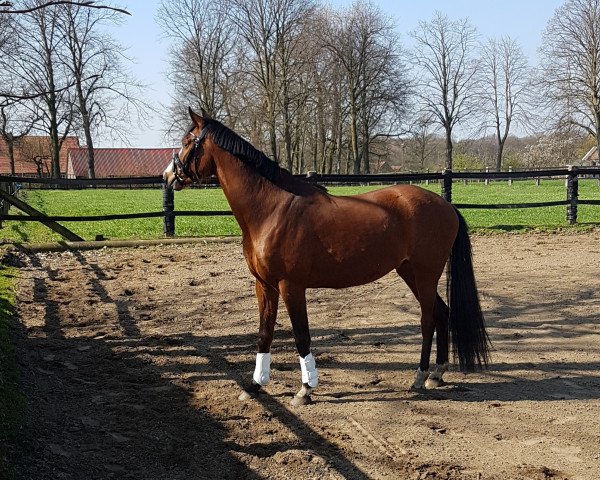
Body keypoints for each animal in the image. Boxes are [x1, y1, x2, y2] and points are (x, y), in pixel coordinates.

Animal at [162, 108, 490, 404]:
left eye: (188, 141)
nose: (167, 176)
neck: (272, 209)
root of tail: (446, 206)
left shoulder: (291, 286)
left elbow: (301, 336)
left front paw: (305, 390)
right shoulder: (264, 286)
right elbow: (264, 334)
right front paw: (255, 386)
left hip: (425, 273)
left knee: (427, 318)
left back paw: (420, 376)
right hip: (409, 271)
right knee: (442, 313)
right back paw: (437, 374)